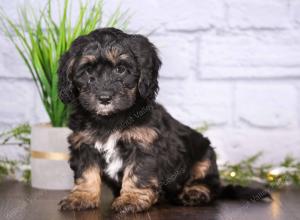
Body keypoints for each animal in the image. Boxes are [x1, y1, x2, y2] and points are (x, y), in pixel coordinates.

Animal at [56, 27, 270, 213]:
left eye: (121, 69)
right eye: (87, 71)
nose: (104, 98)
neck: (111, 119)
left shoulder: (144, 146)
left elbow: (138, 173)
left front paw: (131, 199)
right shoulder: (84, 144)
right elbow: (86, 173)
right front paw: (82, 197)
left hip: (205, 155)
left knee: (210, 184)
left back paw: (195, 192)